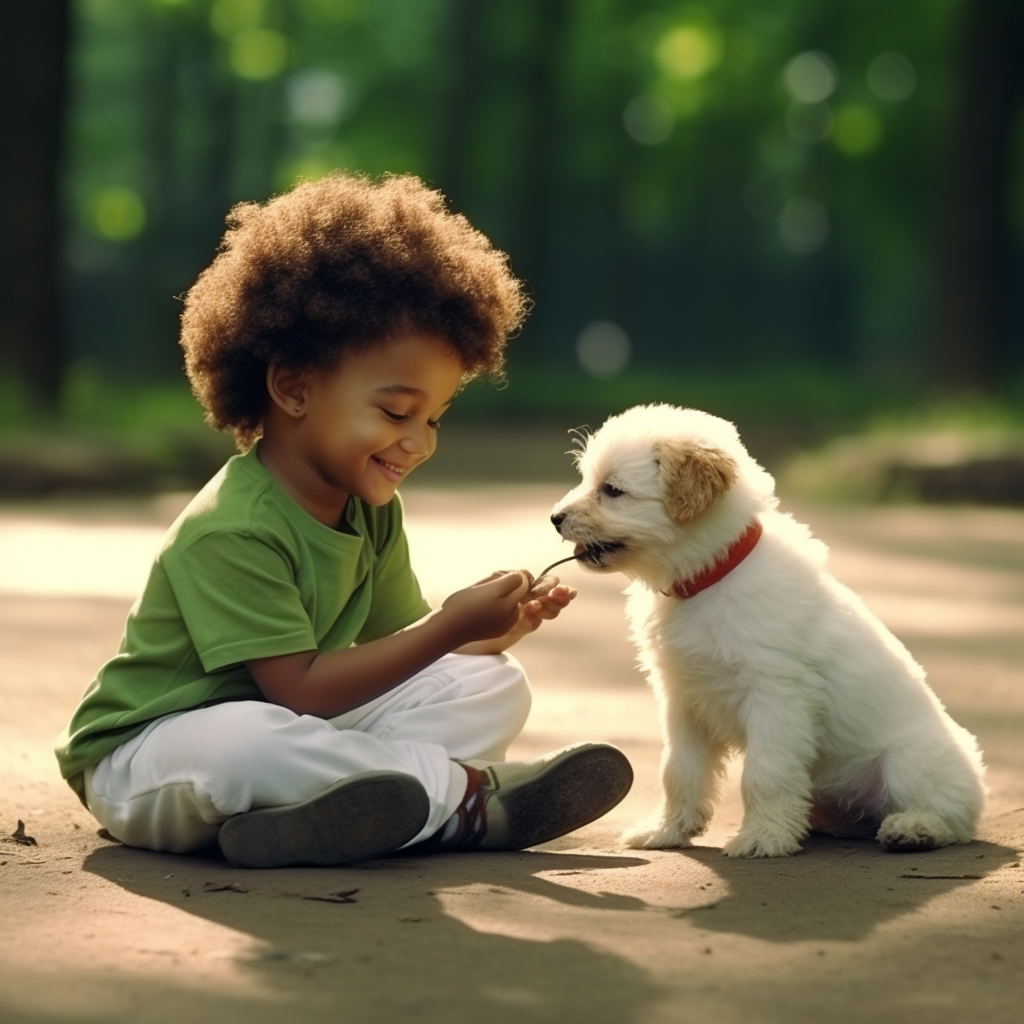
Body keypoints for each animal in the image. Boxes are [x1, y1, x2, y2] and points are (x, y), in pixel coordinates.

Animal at [552, 403, 983, 860]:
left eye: (613, 490)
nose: (554, 519)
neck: (707, 580)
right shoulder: (682, 698)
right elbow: (679, 770)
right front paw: (666, 830)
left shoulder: (776, 696)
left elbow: (764, 773)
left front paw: (763, 838)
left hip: (909, 761)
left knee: (952, 818)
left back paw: (914, 829)